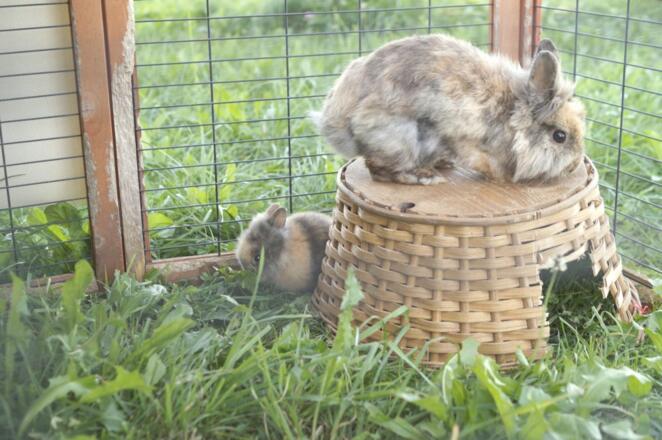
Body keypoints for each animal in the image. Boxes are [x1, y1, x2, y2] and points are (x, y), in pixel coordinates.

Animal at [314, 35, 586, 184]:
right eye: (559, 136)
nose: (574, 166)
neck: (511, 114)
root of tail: (333, 120)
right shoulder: (467, 142)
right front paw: (501, 177)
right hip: (399, 137)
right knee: (379, 169)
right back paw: (423, 177)